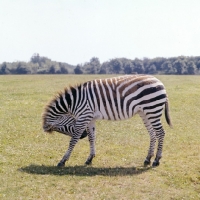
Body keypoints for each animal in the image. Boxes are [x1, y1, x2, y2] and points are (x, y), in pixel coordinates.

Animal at [42, 74, 172, 166]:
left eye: (61, 129)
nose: (83, 135)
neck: (74, 102)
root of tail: (160, 82)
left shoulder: (84, 116)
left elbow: (73, 140)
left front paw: (63, 160)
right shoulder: (90, 118)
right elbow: (92, 138)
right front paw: (90, 158)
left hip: (152, 109)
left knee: (161, 133)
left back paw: (156, 160)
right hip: (145, 113)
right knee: (153, 134)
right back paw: (148, 159)